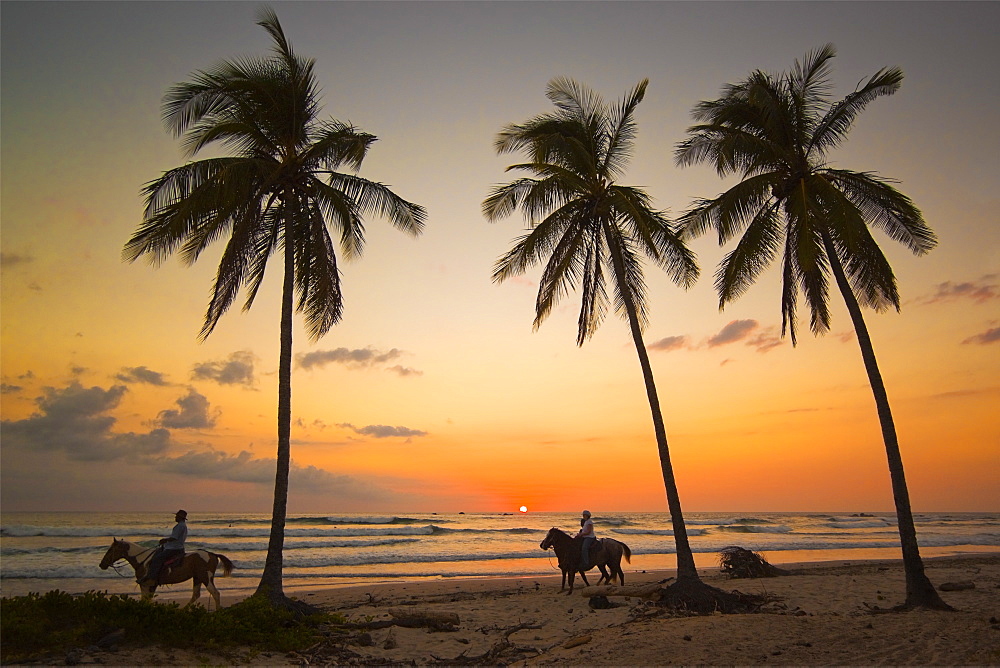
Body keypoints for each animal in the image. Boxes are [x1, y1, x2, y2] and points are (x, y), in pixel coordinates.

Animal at [100, 540, 235, 608]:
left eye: (111, 549)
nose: (102, 564)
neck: (142, 560)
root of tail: (212, 554)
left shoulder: (146, 584)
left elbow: (145, 599)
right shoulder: (150, 585)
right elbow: (147, 599)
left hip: (205, 577)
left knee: (215, 593)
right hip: (197, 578)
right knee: (196, 594)